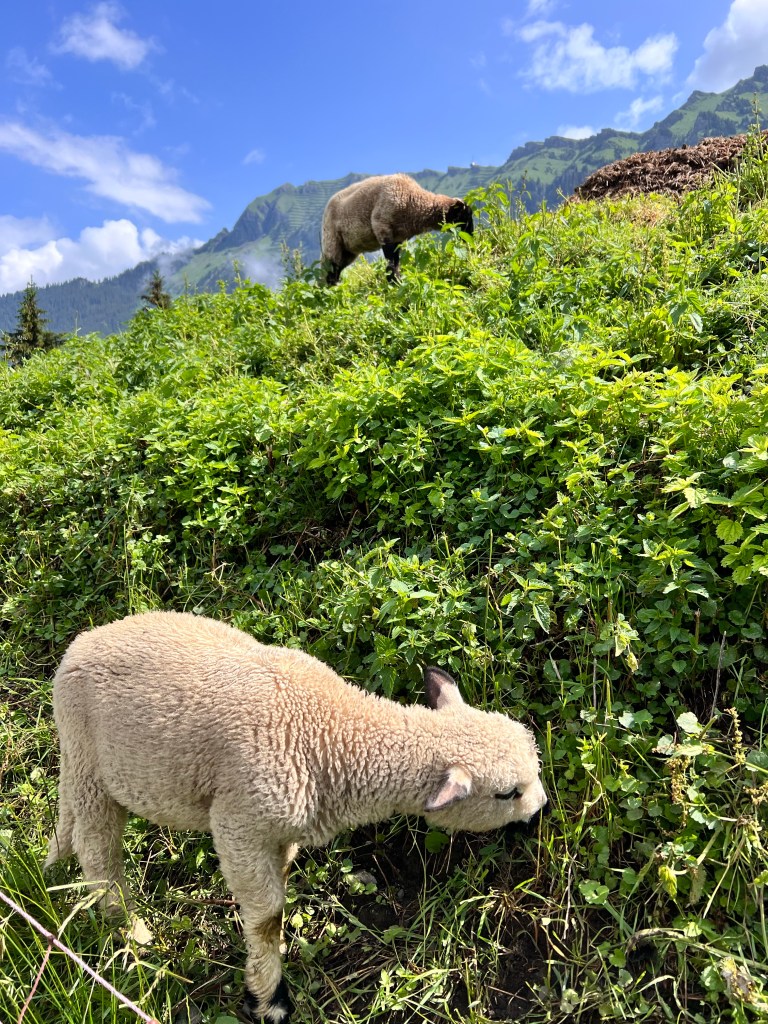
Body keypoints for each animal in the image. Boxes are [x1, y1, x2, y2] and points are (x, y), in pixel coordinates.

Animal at [45, 610, 546, 1023]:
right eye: (507, 793)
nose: (540, 811)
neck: (334, 731)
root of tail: (80, 645)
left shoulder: (280, 826)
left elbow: (280, 882)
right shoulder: (240, 822)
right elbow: (267, 914)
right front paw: (267, 997)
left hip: (80, 760)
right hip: (91, 765)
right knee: (97, 849)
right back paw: (129, 929)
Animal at [321, 173, 474, 285]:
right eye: (464, 216)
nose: (470, 240)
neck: (413, 200)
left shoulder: (397, 239)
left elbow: (396, 263)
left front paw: (398, 281)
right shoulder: (382, 227)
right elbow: (391, 265)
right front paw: (394, 283)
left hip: (348, 251)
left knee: (336, 269)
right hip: (332, 241)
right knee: (331, 269)